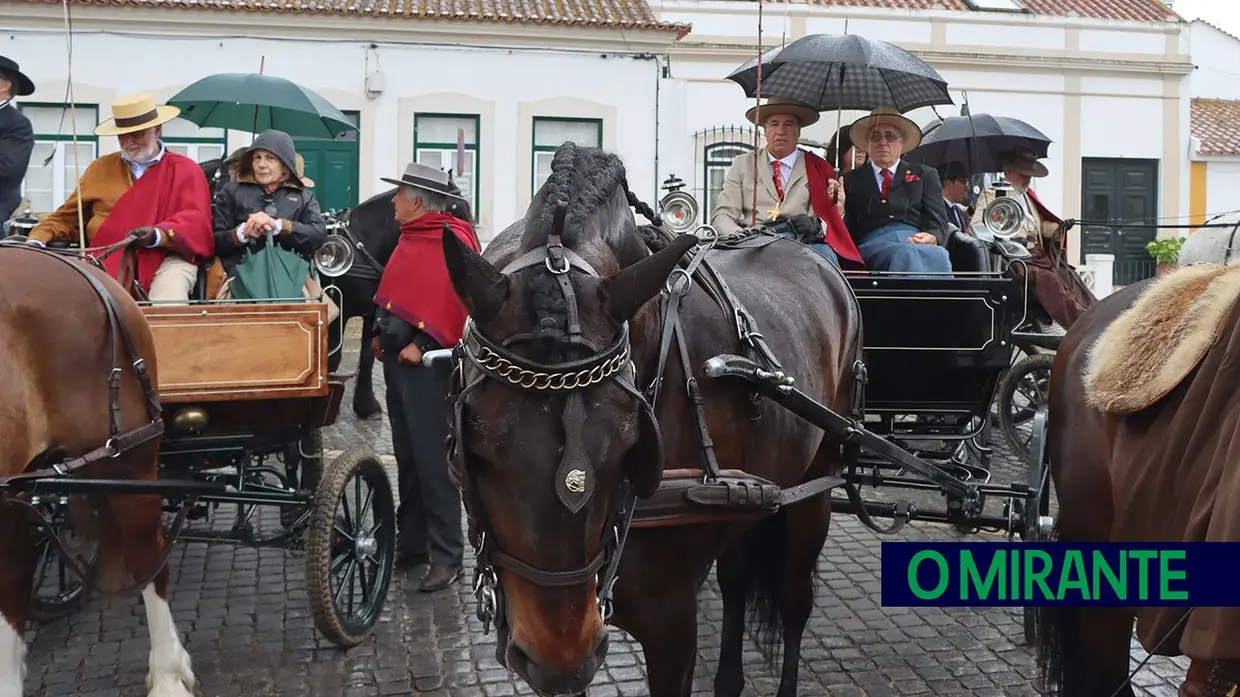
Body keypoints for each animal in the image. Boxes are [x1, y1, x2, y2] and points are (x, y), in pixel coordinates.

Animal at [438, 142, 863, 694]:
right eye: (476, 449)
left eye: (630, 443)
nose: (559, 657)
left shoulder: (670, 622)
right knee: (736, 580)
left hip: (816, 482)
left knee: (793, 600)